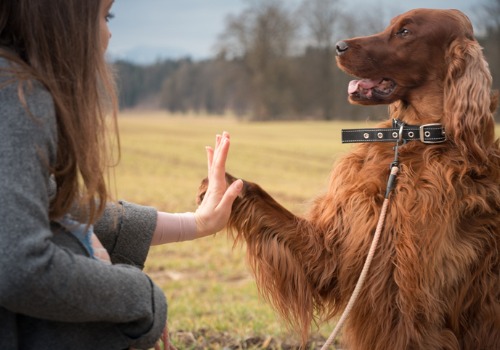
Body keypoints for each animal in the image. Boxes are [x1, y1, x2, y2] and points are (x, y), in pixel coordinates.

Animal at [197, 8, 498, 350]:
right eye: (390, 25)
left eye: (405, 32)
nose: (338, 46)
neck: (411, 143)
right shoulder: (334, 252)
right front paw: (221, 185)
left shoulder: (415, 305)